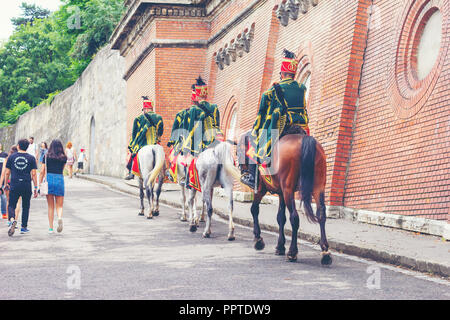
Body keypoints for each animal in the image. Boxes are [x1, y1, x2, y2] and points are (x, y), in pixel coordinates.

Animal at [239, 130, 330, 264]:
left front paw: (258, 240)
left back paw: (292, 252)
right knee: (321, 214)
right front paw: (280, 246)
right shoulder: (281, 193)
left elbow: (254, 209)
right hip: (318, 188)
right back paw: (325, 252)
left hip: (288, 190)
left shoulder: (260, 189)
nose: (242, 170)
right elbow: (281, 218)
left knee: (294, 217)